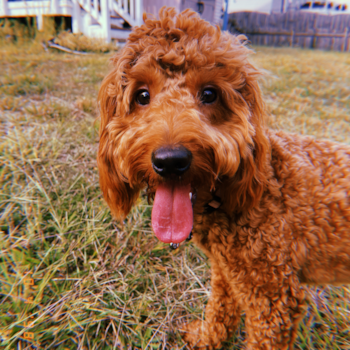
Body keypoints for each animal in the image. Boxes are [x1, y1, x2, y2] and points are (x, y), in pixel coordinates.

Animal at [96, 8, 350, 350]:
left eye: (209, 94)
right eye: (142, 95)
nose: (171, 161)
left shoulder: (274, 298)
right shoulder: (228, 271)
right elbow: (220, 307)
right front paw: (208, 338)